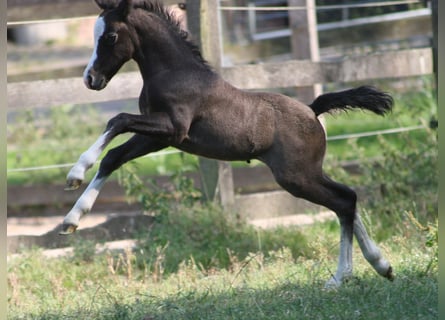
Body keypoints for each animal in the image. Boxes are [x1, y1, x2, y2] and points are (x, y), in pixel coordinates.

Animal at [59, 0, 392, 286]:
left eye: (111, 36)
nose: (91, 79)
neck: (175, 72)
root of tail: (312, 109)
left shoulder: (172, 128)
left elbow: (117, 120)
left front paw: (75, 174)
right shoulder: (159, 138)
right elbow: (113, 156)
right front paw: (72, 217)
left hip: (297, 177)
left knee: (343, 202)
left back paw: (341, 277)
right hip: (308, 173)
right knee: (348, 198)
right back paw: (381, 265)